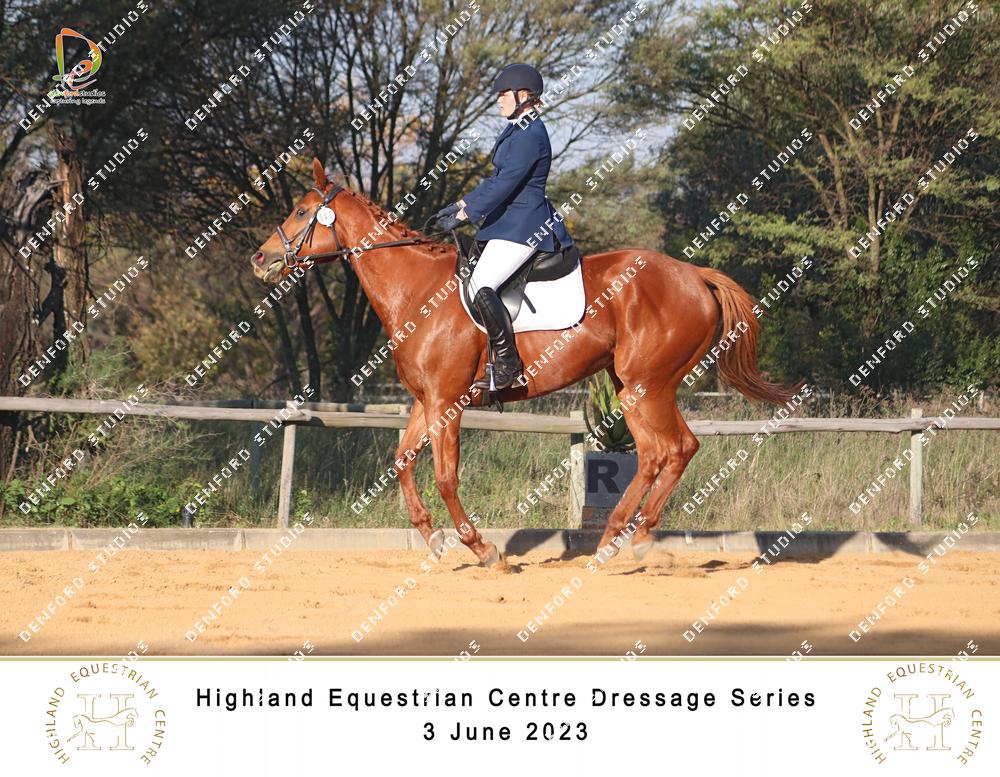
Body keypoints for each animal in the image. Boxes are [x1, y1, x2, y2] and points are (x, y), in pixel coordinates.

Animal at [251, 159, 800, 568]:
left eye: (301, 211)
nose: (260, 259)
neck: (417, 290)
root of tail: (694, 274)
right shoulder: (426, 401)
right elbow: (402, 461)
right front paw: (433, 539)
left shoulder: (447, 403)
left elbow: (446, 476)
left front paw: (482, 548)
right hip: (633, 388)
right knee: (658, 454)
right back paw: (616, 540)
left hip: (648, 385)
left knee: (676, 449)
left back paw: (636, 539)